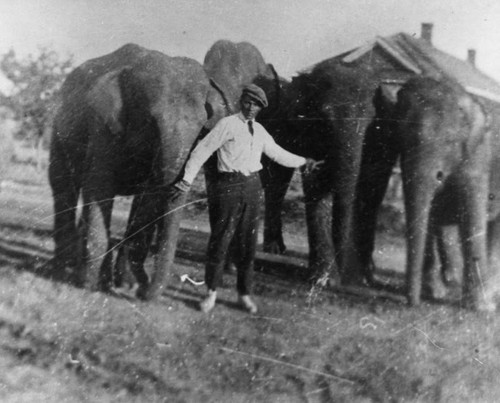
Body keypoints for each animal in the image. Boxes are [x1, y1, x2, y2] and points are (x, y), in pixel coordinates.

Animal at [48, 43, 209, 300]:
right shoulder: (103, 124)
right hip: (59, 131)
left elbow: (149, 197)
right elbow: (100, 186)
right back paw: (64, 271)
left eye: (203, 128)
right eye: (152, 120)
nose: (143, 290)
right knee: (63, 185)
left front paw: (121, 285)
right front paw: (89, 286)